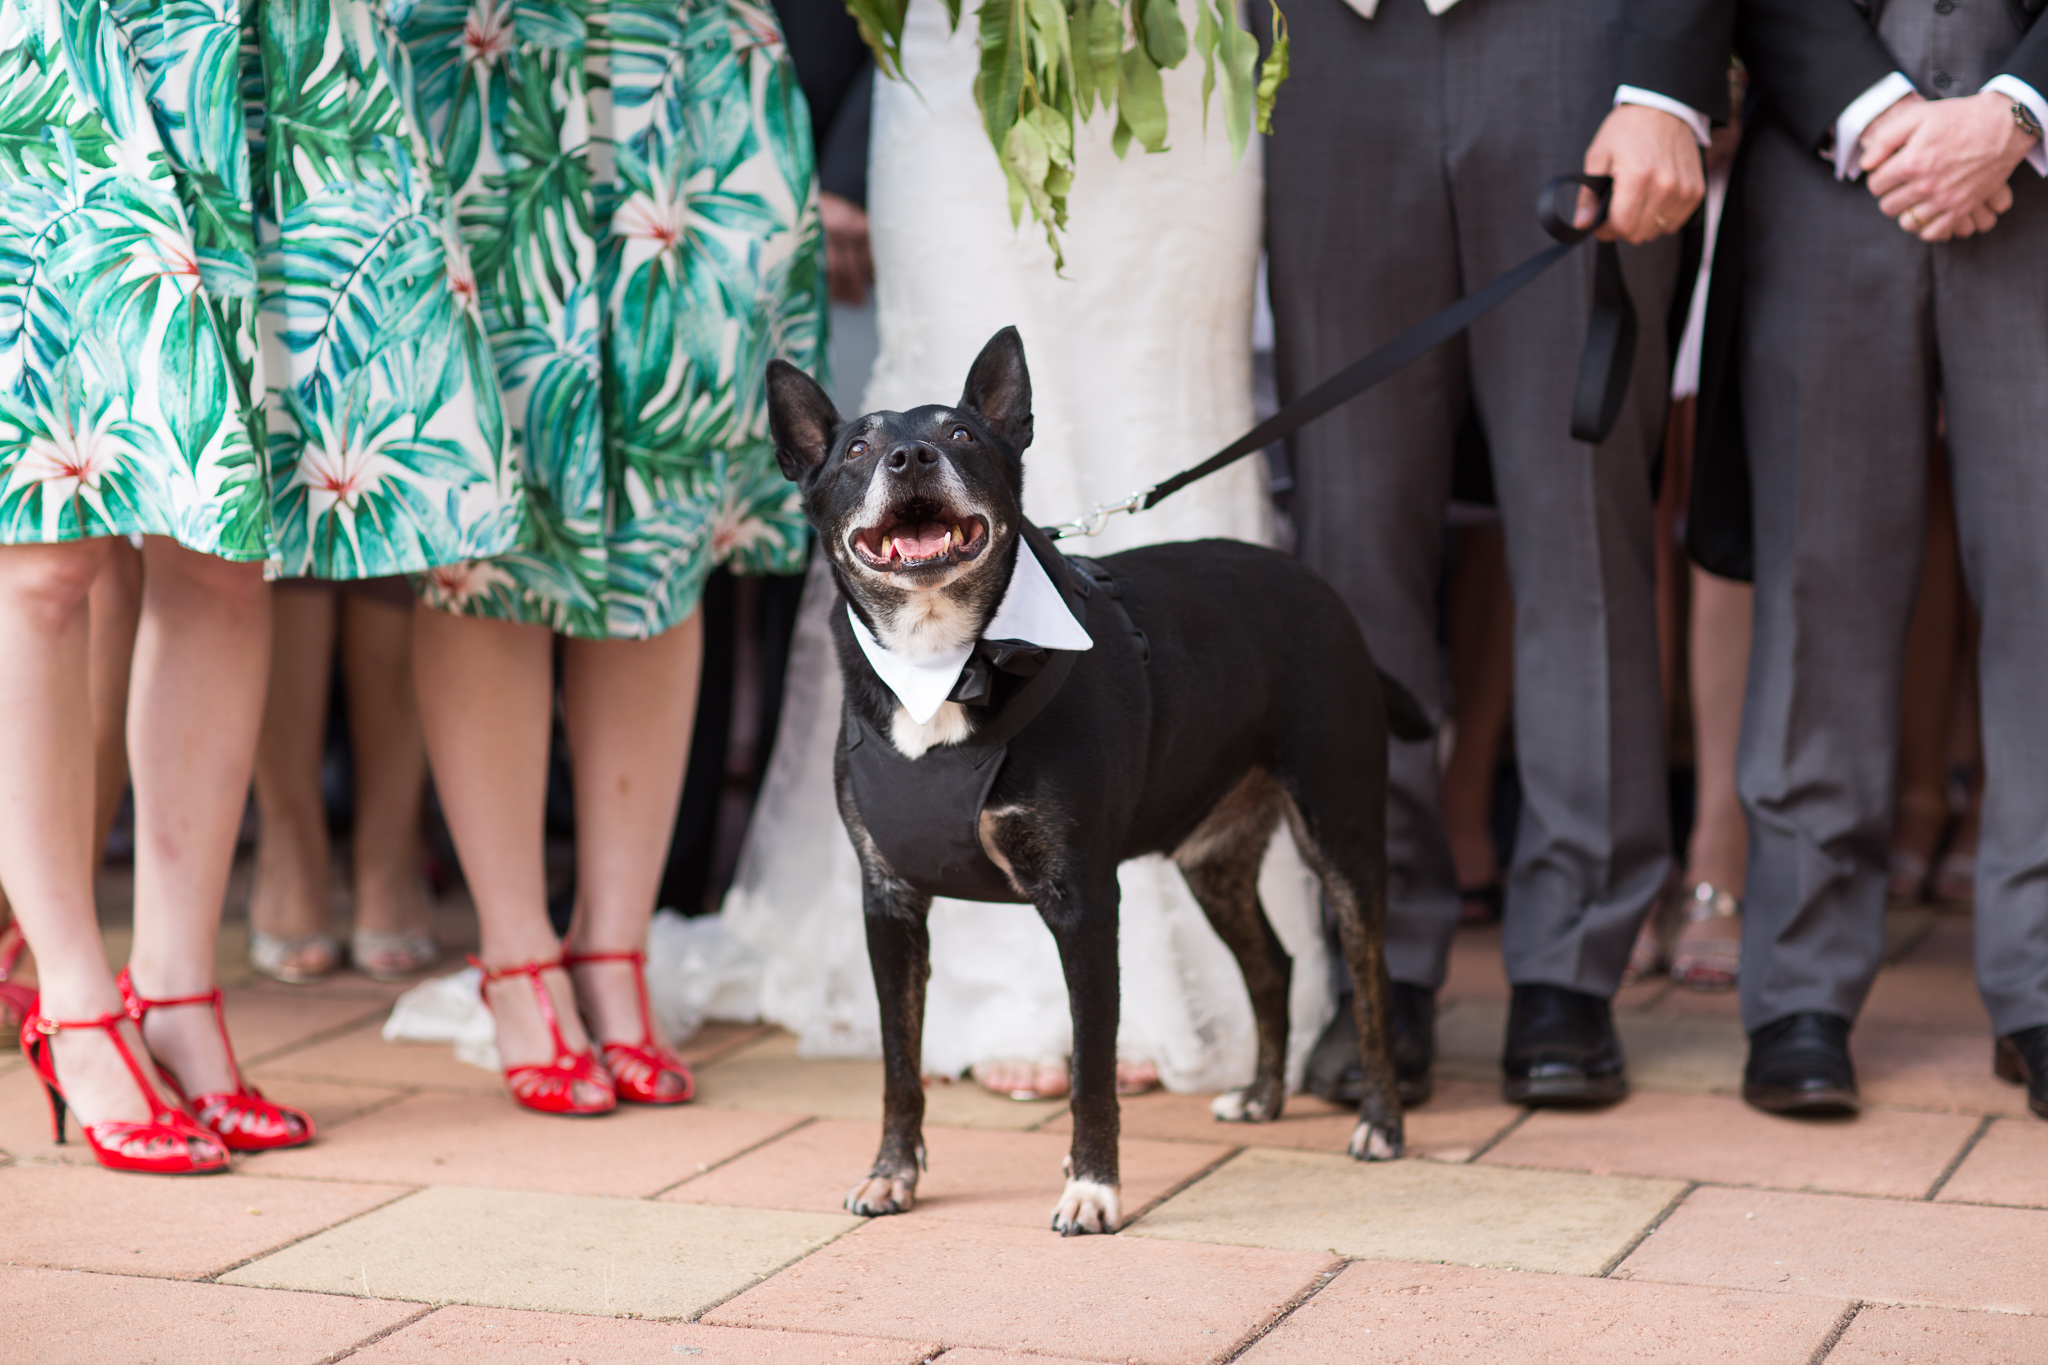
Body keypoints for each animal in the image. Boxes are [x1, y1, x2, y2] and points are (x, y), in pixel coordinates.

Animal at [765, 327, 1425, 1236]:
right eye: (857, 448)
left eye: (962, 434)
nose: (909, 455)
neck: (948, 661)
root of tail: (1318, 587)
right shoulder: (889, 905)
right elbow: (900, 1062)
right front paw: (892, 1173)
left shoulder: (1080, 900)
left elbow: (1092, 1064)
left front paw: (1092, 1187)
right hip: (1213, 860)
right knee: (1275, 966)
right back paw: (1261, 1095)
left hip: (1339, 829)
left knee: (1368, 978)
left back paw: (1381, 1124)